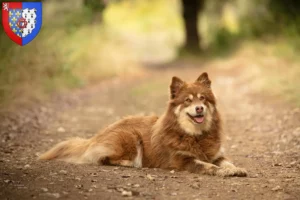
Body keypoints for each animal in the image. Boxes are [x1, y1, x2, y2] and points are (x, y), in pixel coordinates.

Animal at [39, 72, 246, 176]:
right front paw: (221, 171)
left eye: (202, 98)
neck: (195, 134)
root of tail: (95, 137)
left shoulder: (217, 154)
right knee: (102, 158)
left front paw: (235, 169)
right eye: (187, 100)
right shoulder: (182, 160)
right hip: (130, 137)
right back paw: (129, 163)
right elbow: (207, 165)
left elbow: (227, 162)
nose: (199, 108)